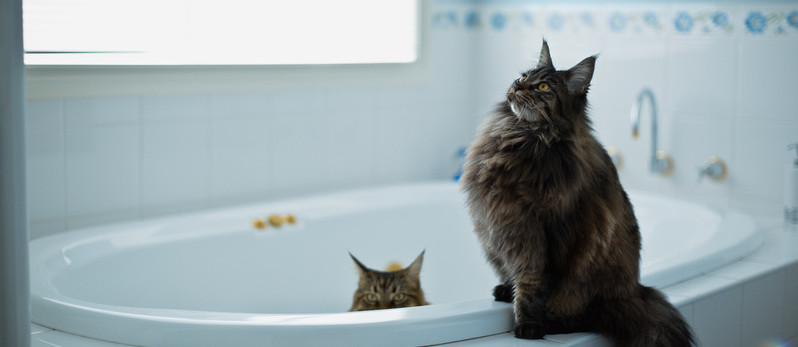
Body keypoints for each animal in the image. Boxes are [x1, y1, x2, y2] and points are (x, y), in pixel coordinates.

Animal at [460, 39, 696, 346]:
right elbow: (516, 274)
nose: (517, 86)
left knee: (586, 317)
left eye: (542, 87)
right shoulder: (500, 225)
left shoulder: (539, 234)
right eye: (523, 77)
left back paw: (550, 323)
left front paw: (528, 325)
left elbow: (531, 285)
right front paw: (510, 292)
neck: (524, 138)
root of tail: (635, 290)